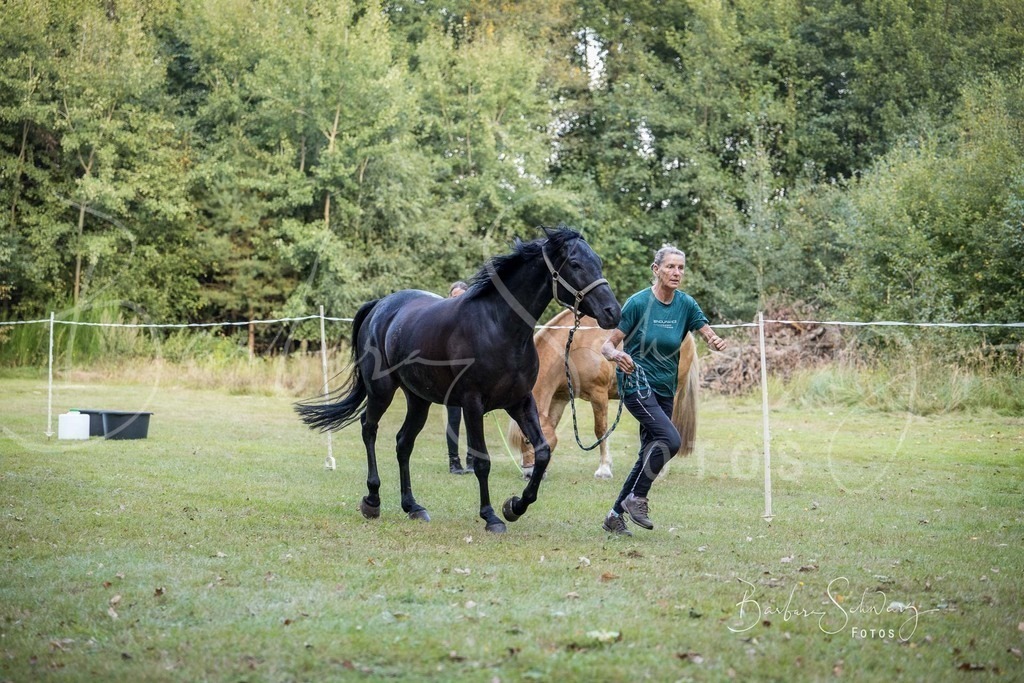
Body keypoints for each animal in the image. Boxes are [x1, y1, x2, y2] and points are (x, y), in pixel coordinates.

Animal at [295, 226, 621, 533]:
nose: (612, 312)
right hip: (381, 391)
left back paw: (413, 506)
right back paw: (372, 500)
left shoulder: (519, 402)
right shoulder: (473, 404)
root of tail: (380, 305)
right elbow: (482, 461)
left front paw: (514, 506)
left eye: (598, 262)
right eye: (575, 264)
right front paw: (491, 517)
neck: (499, 328)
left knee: (403, 443)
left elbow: (542, 452)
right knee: (369, 429)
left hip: (419, 400)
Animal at [508, 308, 699, 480]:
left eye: (527, 440)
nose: (528, 474)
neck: (572, 349)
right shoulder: (560, 398)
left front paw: (604, 469)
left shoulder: (598, 394)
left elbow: (601, 431)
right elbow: (553, 426)